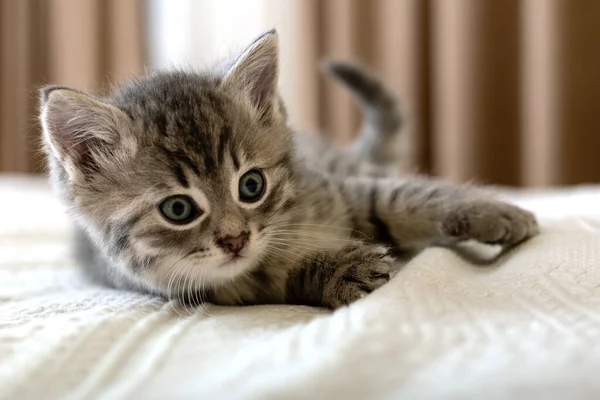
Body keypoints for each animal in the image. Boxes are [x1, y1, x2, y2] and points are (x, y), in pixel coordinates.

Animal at [41, 30, 540, 310]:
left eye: (251, 185)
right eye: (178, 209)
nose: (235, 239)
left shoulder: (338, 189)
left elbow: (401, 197)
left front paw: (494, 213)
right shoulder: (227, 289)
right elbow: (285, 278)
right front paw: (342, 271)